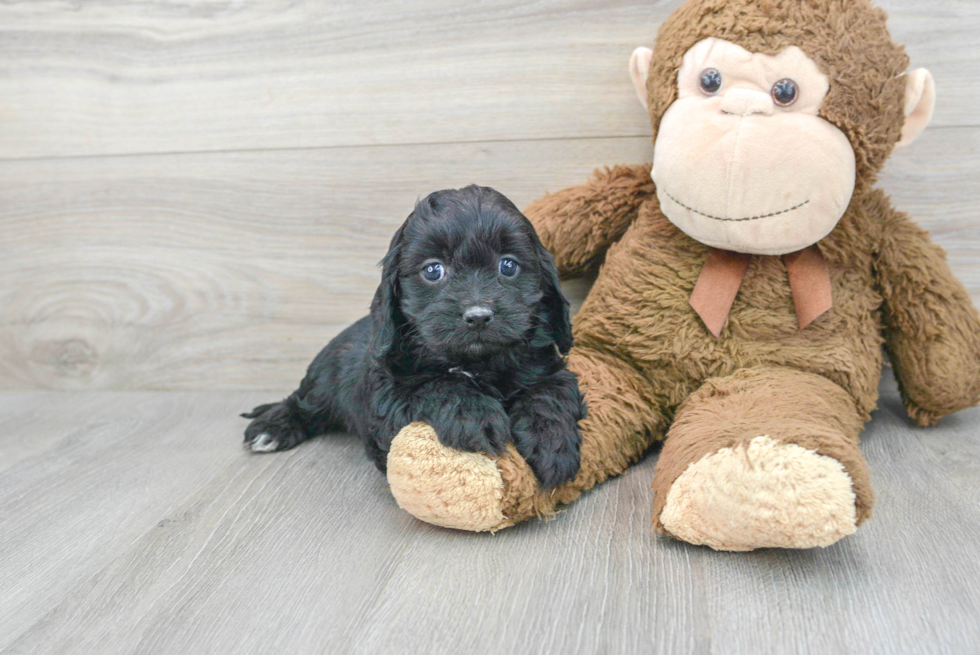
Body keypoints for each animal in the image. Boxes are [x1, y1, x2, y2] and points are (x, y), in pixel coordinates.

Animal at [242, 184, 584, 486]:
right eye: (433, 270)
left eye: (509, 266)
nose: (478, 316)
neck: (474, 363)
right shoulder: (386, 397)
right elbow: (434, 385)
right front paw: (474, 415)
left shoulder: (548, 369)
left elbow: (549, 392)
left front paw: (552, 442)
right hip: (323, 380)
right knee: (302, 402)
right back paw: (272, 427)